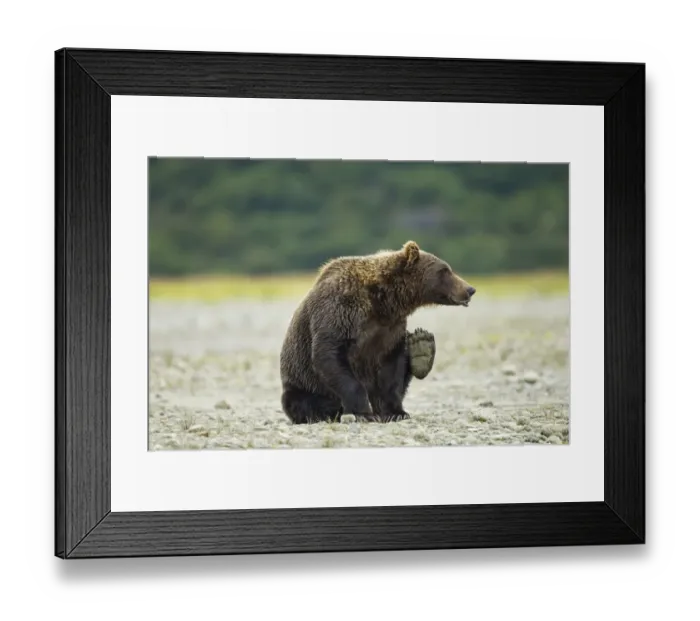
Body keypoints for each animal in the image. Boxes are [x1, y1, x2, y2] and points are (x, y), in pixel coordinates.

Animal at [279, 241, 476, 424]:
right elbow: (330, 354)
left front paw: (396, 412)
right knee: (305, 400)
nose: (470, 289)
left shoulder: (391, 328)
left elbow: (391, 368)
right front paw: (364, 412)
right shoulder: (340, 311)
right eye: (444, 270)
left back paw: (421, 350)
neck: (384, 301)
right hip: (303, 384)